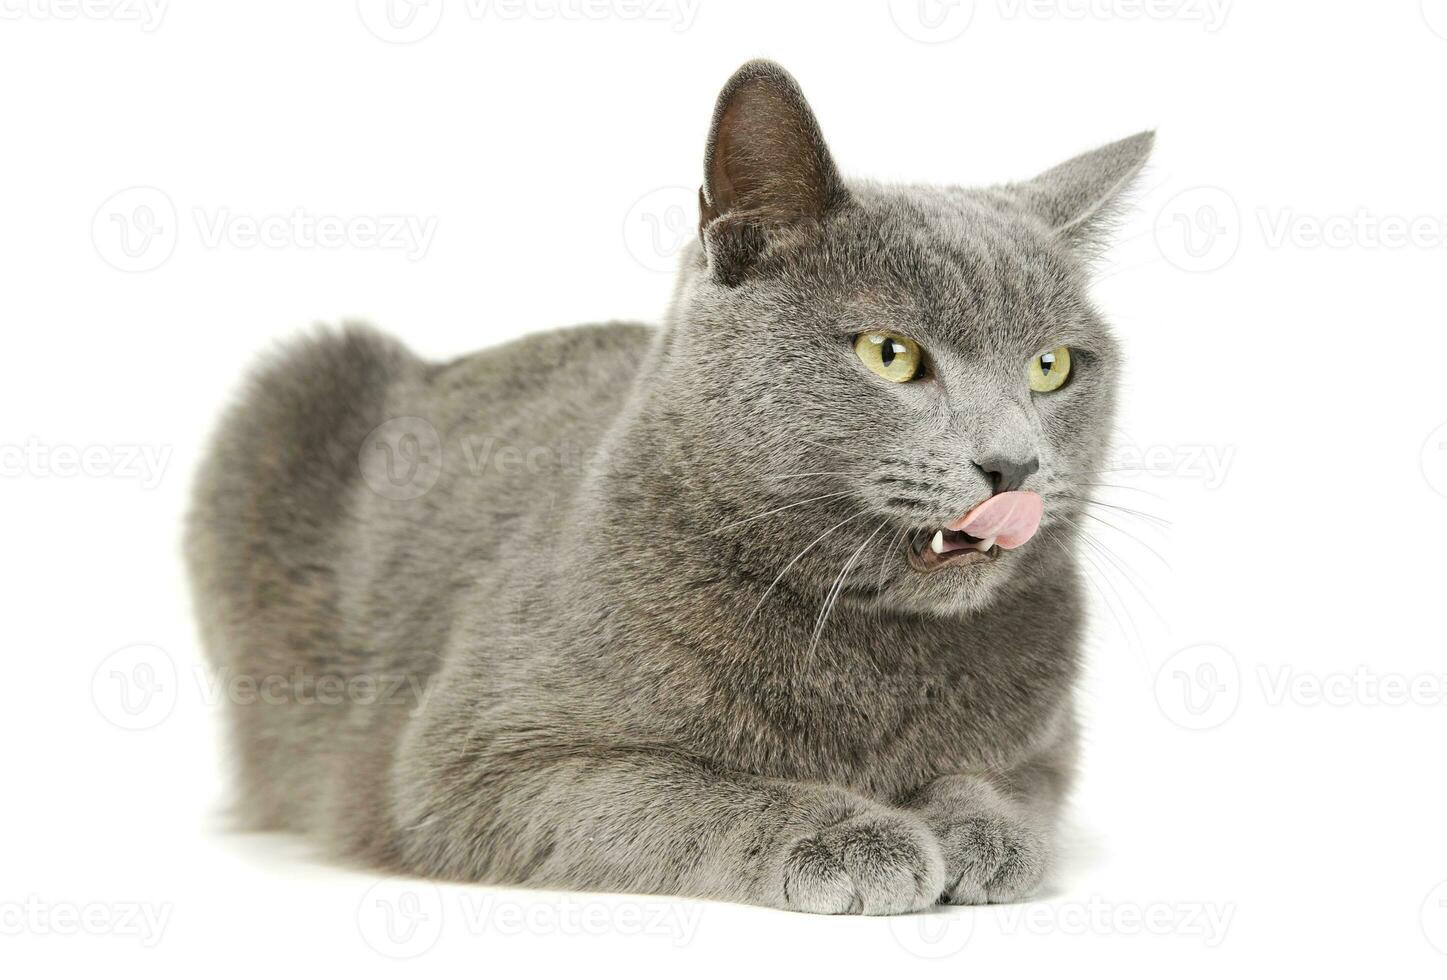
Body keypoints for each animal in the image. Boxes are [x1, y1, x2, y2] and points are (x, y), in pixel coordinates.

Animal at [186, 61, 1151, 914]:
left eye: (1051, 366)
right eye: (891, 354)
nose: (1013, 465)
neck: (873, 646)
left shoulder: (1049, 746)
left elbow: (1008, 785)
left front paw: (981, 831)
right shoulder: (471, 766)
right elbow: (691, 790)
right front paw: (849, 835)